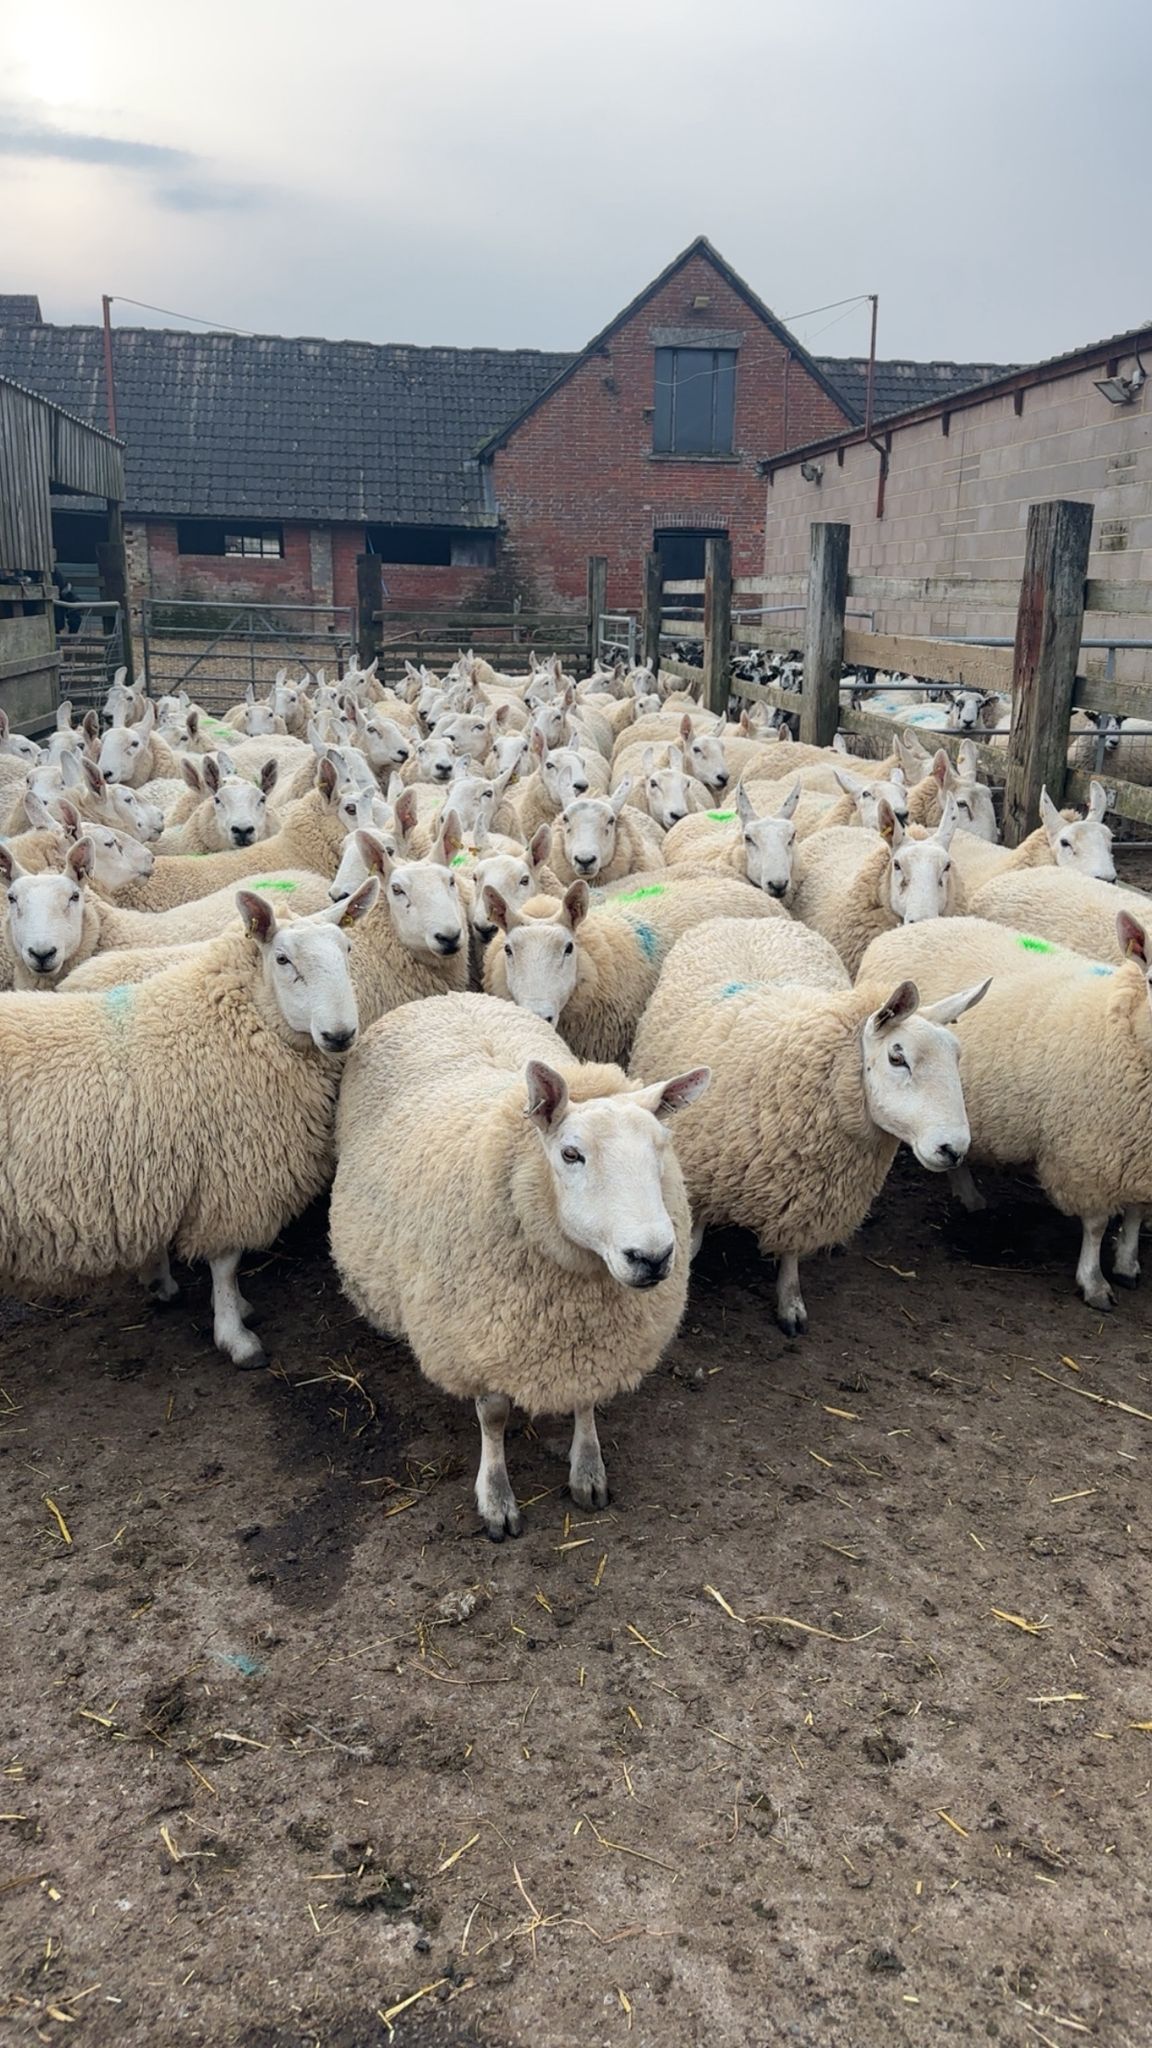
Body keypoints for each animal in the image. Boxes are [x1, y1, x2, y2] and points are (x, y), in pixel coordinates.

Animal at [0, 879, 380, 1363]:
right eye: (282, 959)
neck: (231, 1023)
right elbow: (226, 1264)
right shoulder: (229, 1176)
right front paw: (236, 1335)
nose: (340, 1035)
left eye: (348, 949)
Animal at [329, 992, 709, 1536]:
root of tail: (447, 997)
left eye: (663, 1147)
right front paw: (496, 1497)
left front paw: (588, 1470)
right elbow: (492, 1417)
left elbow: (585, 1400)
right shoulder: (475, 1339)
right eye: (571, 1154)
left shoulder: (592, 1343)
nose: (652, 1257)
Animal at [630, 917, 987, 1334]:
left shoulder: (805, 1195)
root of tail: (754, 921)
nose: (954, 1149)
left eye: (957, 1056)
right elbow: (693, 1242)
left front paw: (791, 1303)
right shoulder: (703, 1179)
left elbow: (790, 1252)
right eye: (897, 1058)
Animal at [858, 910, 1152, 1311]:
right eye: (1151, 977)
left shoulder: (1138, 1154)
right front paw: (1093, 1282)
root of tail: (914, 927)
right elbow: (1095, 1224)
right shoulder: (1087, 1153)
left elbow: (1136, 1210)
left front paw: (1127, 1263)